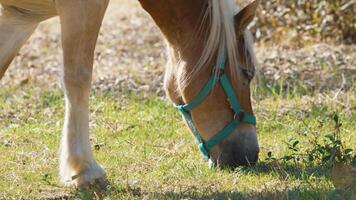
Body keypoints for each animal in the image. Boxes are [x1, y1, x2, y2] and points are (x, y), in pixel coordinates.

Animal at [0, 0, 262, 189]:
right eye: (247, 72)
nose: (249, 156)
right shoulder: (82, 7)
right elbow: (78, 79)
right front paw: (85, 170)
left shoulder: (21, 17)